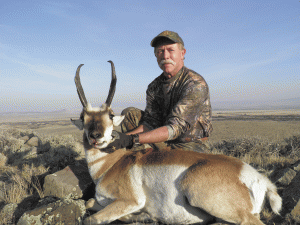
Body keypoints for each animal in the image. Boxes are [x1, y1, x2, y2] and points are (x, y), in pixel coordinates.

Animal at [72, 61, 282, 225]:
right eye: (83, 117)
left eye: (110, 115)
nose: (95, 136)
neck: (112, 164)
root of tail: (255, 176)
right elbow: (89, 203)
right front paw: (145, 217)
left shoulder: (130, 201)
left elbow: (90, 219)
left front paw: (145, 217)